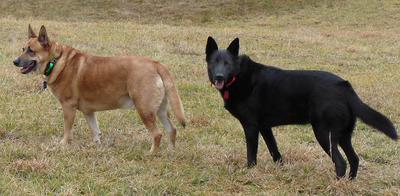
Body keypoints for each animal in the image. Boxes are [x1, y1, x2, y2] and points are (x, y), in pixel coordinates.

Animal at [13, 24, 186, 153]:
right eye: (22, 49)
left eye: (31, 51)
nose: (14, 61)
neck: (56, 61)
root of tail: (156, 64)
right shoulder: (89, 112)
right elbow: (95, 131)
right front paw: (96, 146)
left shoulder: (68, 107)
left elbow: (67, 130)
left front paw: (63, 144)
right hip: (160, 110)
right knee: (172, 130)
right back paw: (170, 152)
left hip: (144, 109)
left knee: (157, 134)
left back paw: (152, 153)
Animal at [205, 36, 398, 179]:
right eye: (214, 63)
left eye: (227, 63)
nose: (219, 76)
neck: (237, 77)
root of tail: (344, 86)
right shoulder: (265, 128)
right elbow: (275, 151)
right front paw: (281, 170)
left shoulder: (251, 127)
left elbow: (251, 155)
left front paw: (250, 172)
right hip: (343, 135)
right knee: (354, 159)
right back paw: (349, 182)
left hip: (323, 133)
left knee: (341, 162)